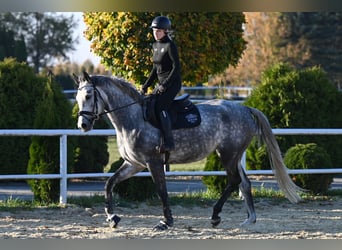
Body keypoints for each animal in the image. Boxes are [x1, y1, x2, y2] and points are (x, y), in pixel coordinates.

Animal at [73, 71, 302, 231]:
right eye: (77, 98)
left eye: (89, 95)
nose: (83, 125)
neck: (133, 118)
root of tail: (245, 108)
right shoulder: (134, 164)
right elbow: (109, 183)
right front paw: (112, 218)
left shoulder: (153, 162)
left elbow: (162, 191)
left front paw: (166, 222)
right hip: (234, 155)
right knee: (244, 183)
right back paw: (249, 219)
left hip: (228, 154)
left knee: (234, 181)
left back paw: (215, 216)